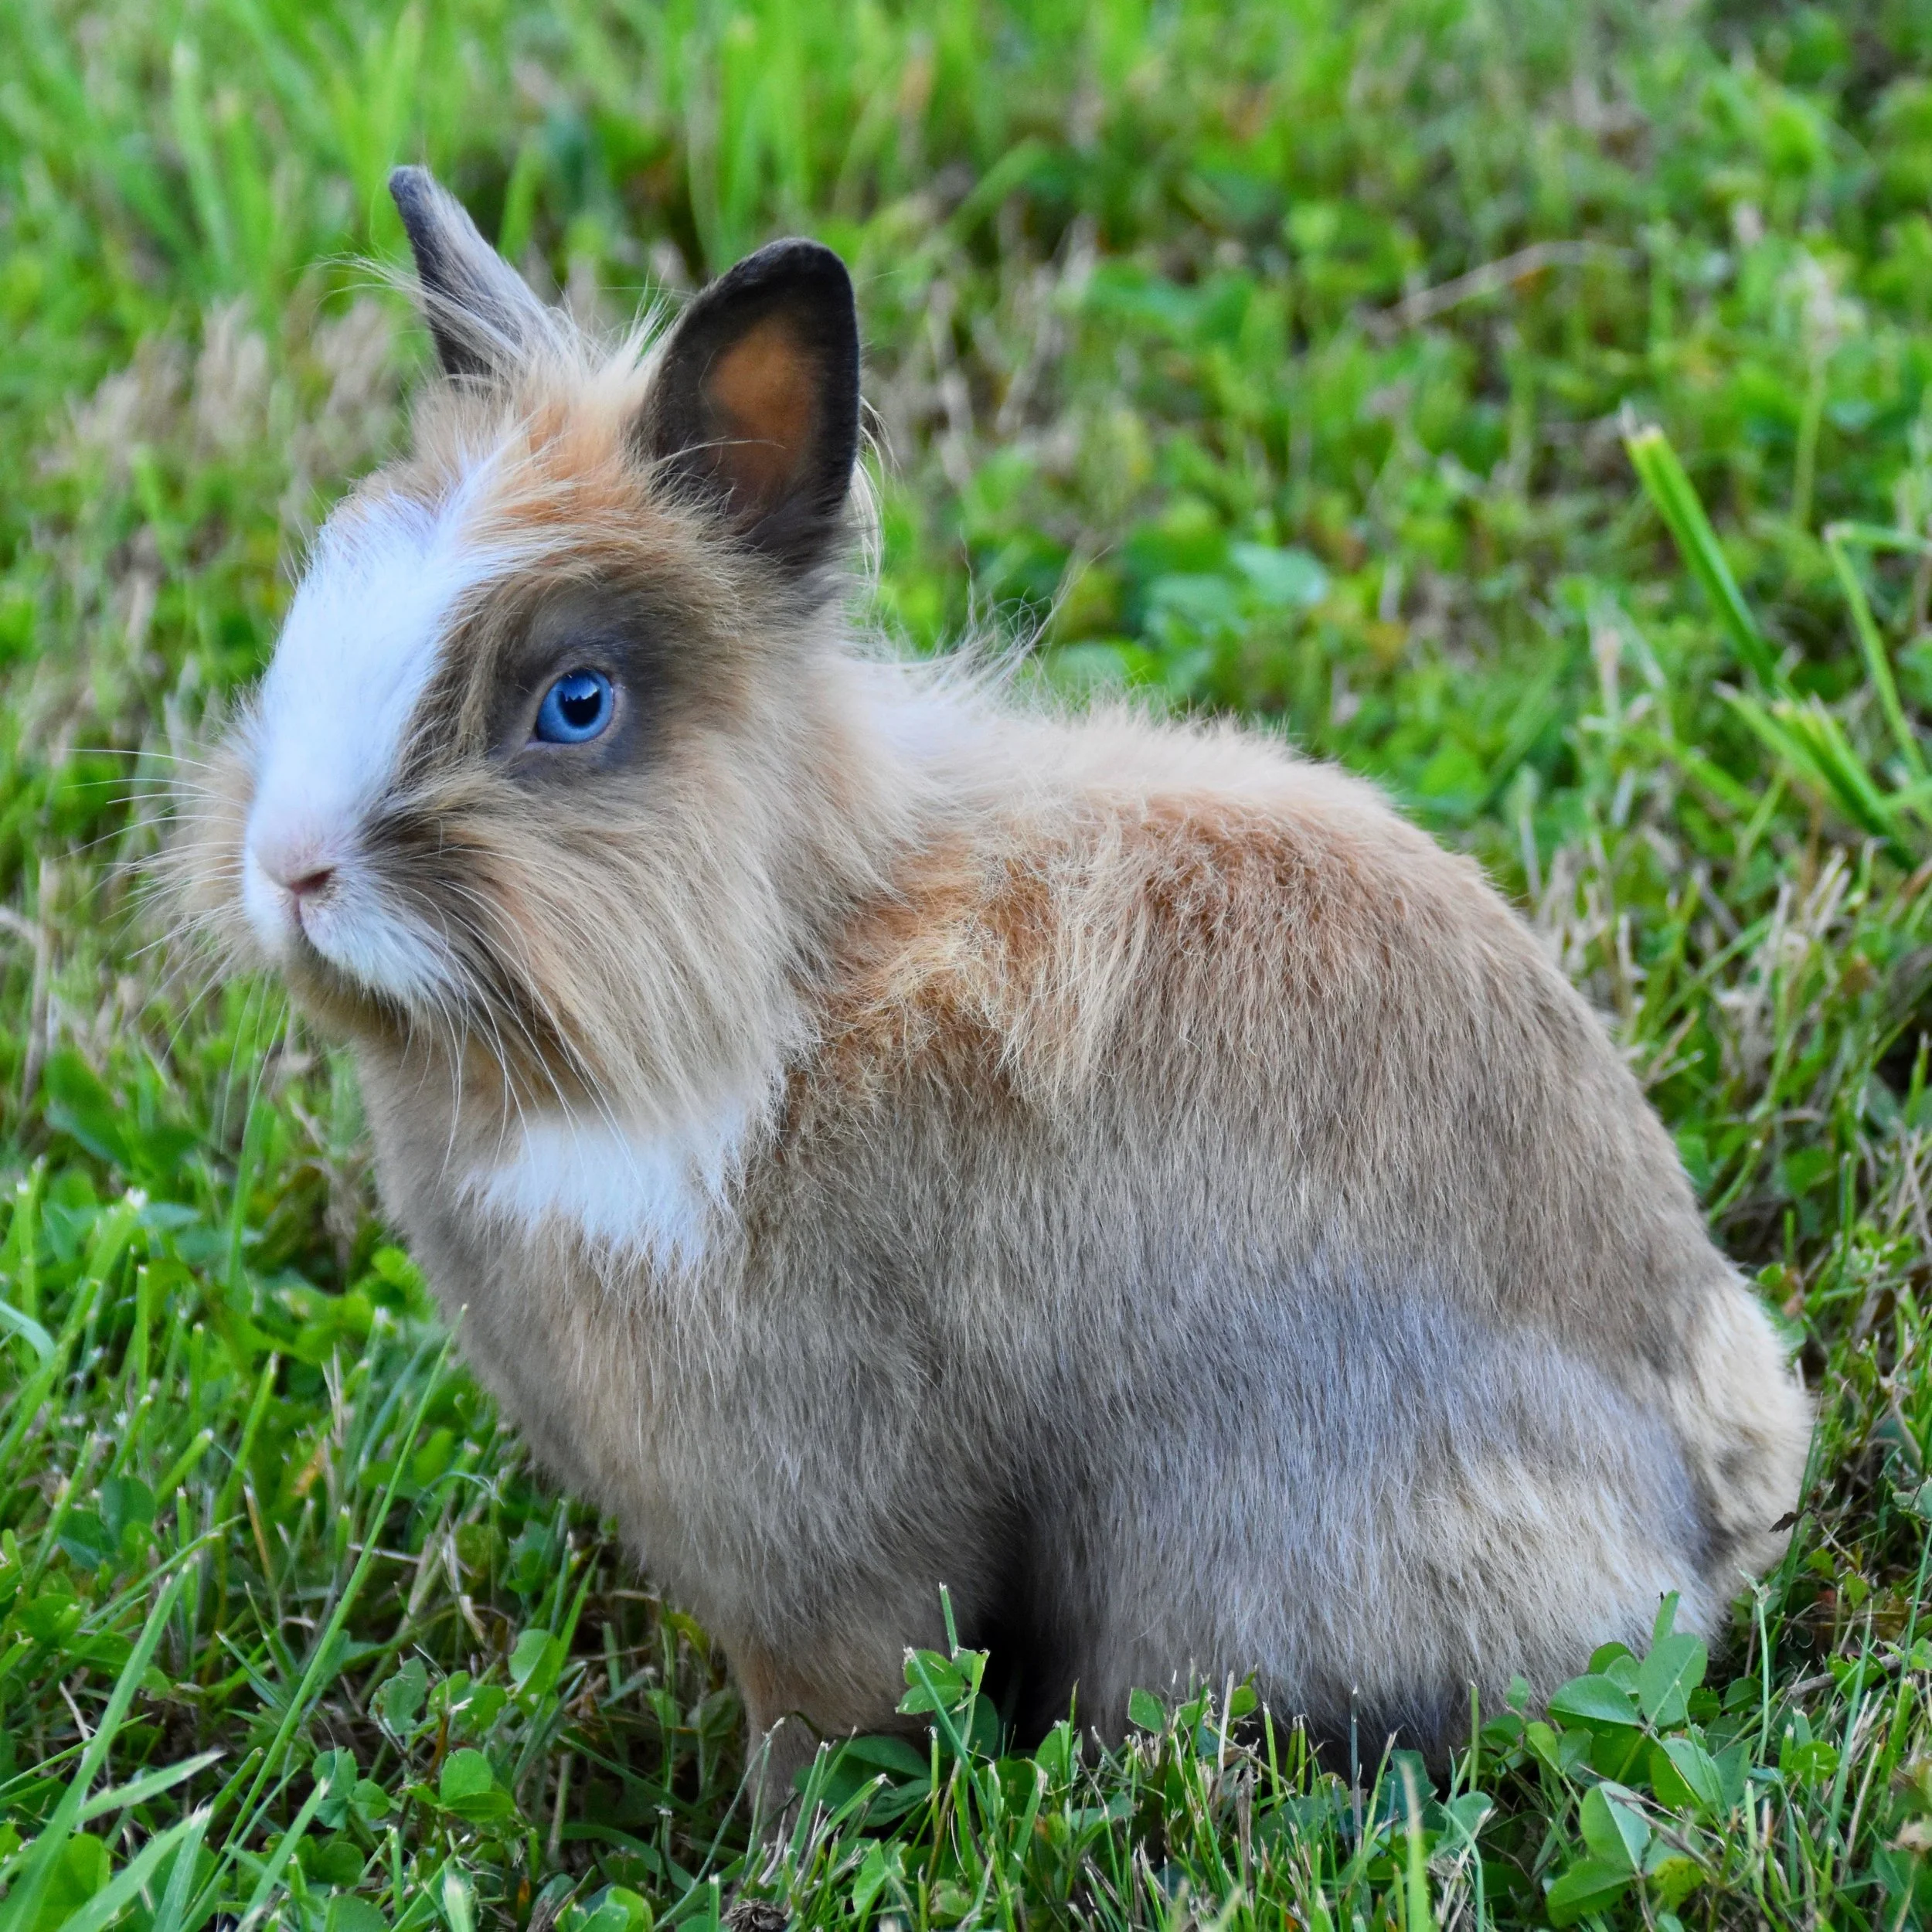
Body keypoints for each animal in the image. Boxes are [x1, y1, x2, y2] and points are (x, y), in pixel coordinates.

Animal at [172, 165, 1812, 1788]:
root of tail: (1702, 1511)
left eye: (576, 706)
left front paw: (772, 1842)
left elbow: (828, 1713)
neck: (765, 989)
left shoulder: (819, 1522)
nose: (292, 867)